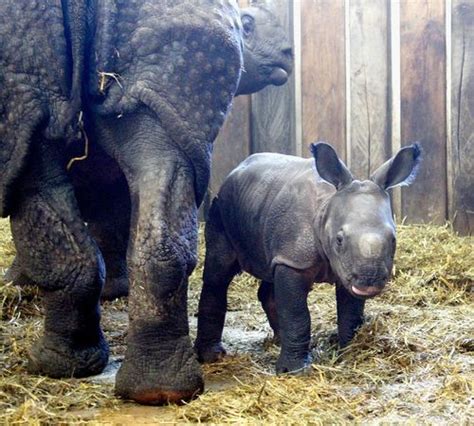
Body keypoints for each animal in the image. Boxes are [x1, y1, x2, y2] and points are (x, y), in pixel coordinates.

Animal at [0, 0, 292, 406]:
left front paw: (21, 285)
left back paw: (59, 367)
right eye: (248, 26)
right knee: (154, 164)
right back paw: (148, 388)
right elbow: (109, 212)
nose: (288, 54)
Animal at [196, 142, 422, 372]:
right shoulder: (295, 260)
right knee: (218, 274)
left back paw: (278, 341)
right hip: (221, 206)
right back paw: (213, 357)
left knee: (269, 271)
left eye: (393, 240)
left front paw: (349, 352)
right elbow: (296, 314)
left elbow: (350, 313)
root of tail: (235, 170)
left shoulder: (337, 267)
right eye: (339, 240)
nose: (370, 281)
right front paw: (293, 370)